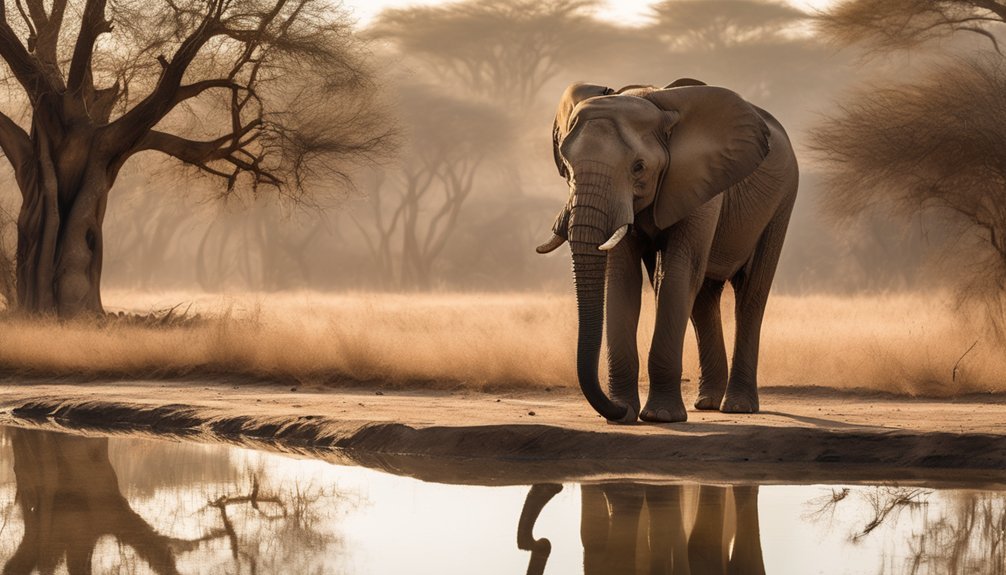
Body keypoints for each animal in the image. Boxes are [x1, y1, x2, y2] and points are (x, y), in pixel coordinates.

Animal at [537, 79, 799, 423]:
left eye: (638, 168)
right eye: (567, 167)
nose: (619, 412)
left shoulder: (699, 182)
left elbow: (678, 272)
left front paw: (660, 416)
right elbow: (622, 279)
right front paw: (625, 412)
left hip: (782, 200)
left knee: (750, 295)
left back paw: (738, 406)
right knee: (703, 298)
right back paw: (708, 402)